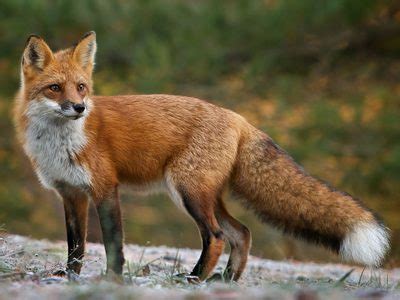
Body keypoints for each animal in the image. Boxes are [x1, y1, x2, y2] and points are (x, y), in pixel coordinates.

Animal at [14, 31, 390, 280]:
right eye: (54, 88)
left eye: (81, 87)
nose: (79, 108)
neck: (59, 143)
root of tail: (240, 118)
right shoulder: (70, 193)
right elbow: (75, 246)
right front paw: (69, 276)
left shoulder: (106, 188)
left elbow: (113, 243)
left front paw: (112, 278)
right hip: (204, 195)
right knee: (242, 233)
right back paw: (225, 280)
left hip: (188, 193)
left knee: (218, 236)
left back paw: (194, 278)